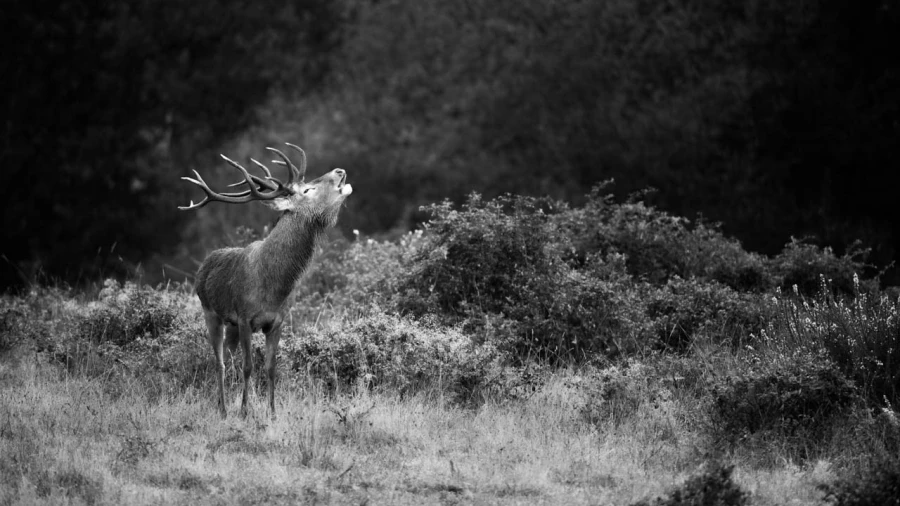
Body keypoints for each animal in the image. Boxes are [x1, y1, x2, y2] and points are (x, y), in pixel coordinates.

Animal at [179, 143, 352, 420]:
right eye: (308, 189)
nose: (339, 170)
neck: (274, 286)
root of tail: (204, 265)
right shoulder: (245, 318)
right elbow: (248, 366)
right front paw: (244, 411)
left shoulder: (277, 321)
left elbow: (271, 367)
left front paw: (272, 413)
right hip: (210, 312)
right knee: (219, 361)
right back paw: (223, 409)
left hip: (230, 324)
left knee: (227, 358)